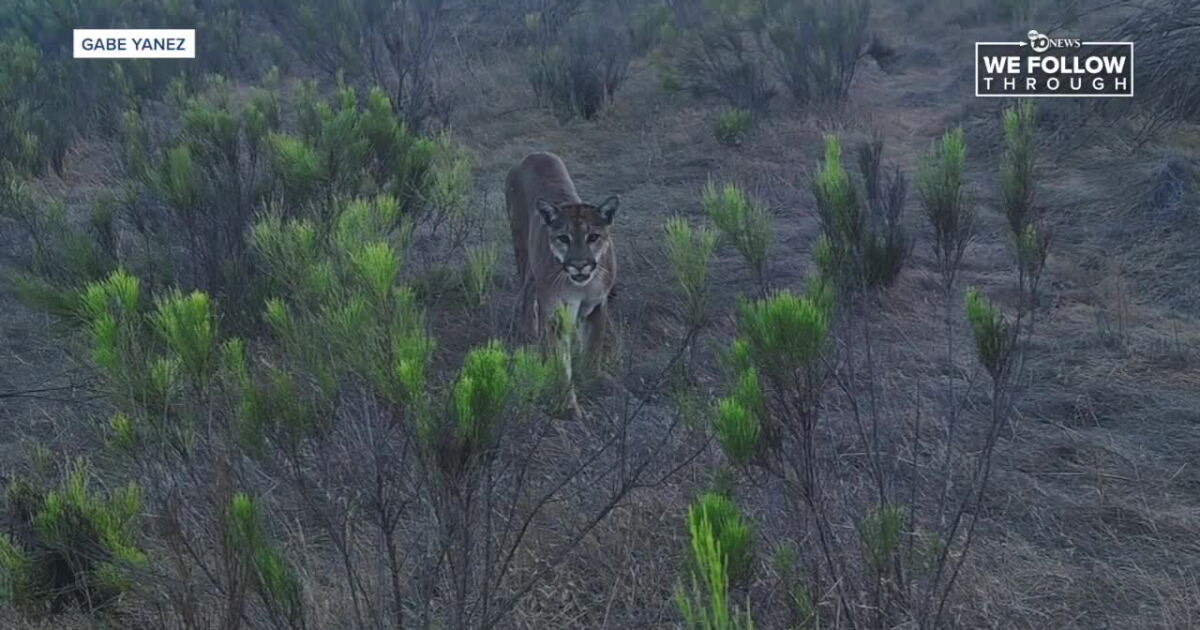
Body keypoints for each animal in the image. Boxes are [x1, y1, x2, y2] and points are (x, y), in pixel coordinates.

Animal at [506, 151, 619, 417]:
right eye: (563, 238)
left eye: (593, 237)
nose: (579, 265)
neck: (581, 286)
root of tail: (534, 154)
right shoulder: (557, 312)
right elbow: (561, 360)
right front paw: (568, 404)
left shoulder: (597, 306)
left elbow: (593, 348)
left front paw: (593, 379)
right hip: (523, 251)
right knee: (526, 297)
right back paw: (530, 335)